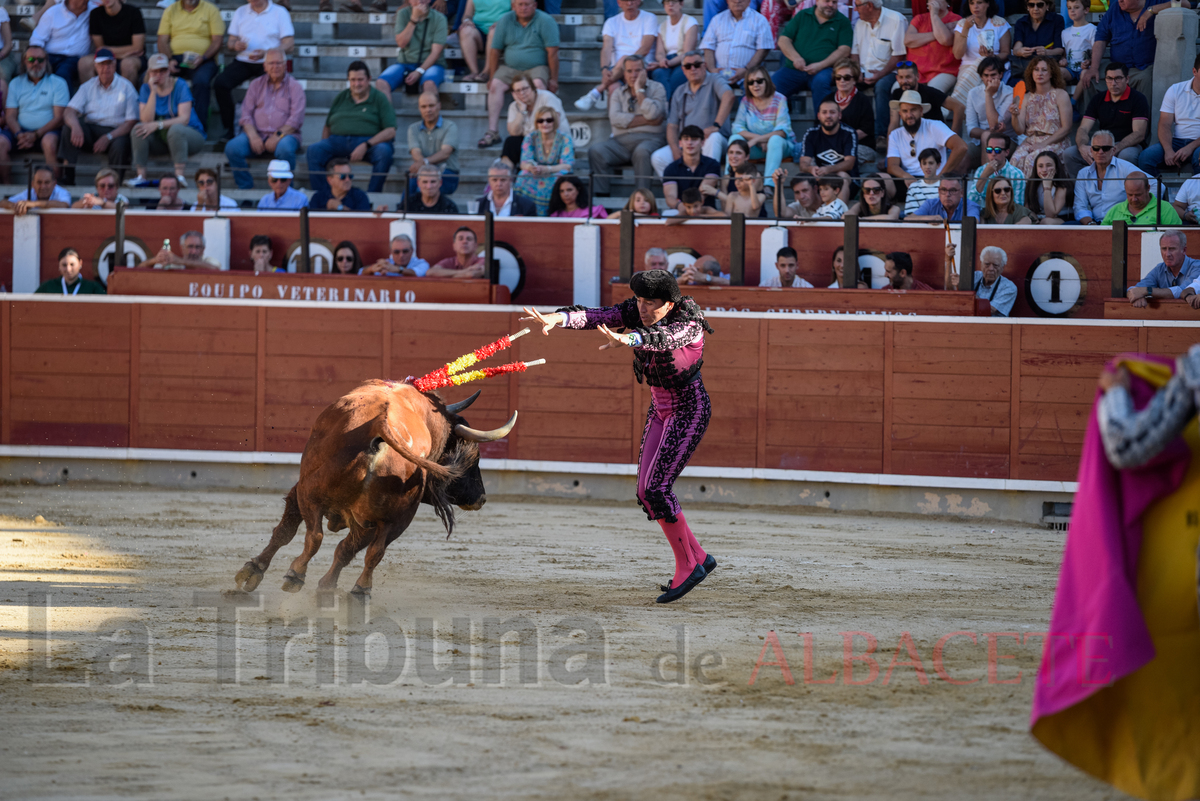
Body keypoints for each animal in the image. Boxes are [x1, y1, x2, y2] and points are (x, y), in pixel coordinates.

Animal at [234, 378, 516, 597]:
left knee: (317, 537)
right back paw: (354, 590)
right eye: (474, 458)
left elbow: (289, 531)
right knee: (364, 549)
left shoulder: (303, 493)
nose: (481, 498)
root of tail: (381, 424)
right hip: (385, 515)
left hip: (316, 494)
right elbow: (336, 546)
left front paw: (254, 569)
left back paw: (299, 576)